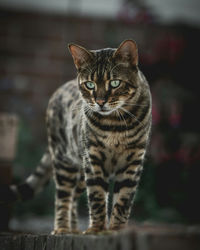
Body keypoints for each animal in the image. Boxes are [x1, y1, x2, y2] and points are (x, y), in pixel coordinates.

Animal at [2, 39, 152, 234]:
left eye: (114, 83)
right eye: (90, 84)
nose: (100, 102)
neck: (114, 126)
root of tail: (59, 90)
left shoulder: (133, 161)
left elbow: (123, 200)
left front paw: (116, 229)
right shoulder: (93, 160)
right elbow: (97, 197)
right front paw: (96, 229)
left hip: (80, 172)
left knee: (73, 199)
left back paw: (74, 229)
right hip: (64, 162)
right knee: (63, 198)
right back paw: (62, 228)